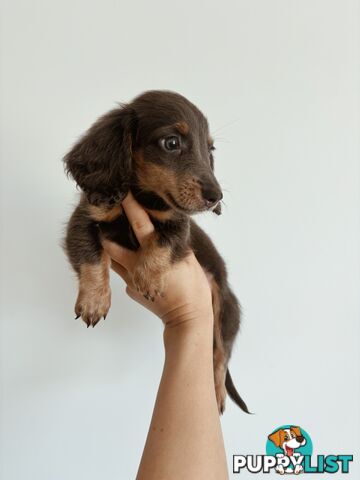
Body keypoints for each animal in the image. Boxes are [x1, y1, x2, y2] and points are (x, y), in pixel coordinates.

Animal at [63, 92, 249, 414]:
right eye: (171, 143)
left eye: (209, 148)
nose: (216, 197)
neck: (143, 197)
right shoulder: (83, 220)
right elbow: (92, 257)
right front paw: (94, 301)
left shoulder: (178, 227)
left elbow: (162, 241)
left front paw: (148, 278)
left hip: (226, 312)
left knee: (220, 356)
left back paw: (217, 394)